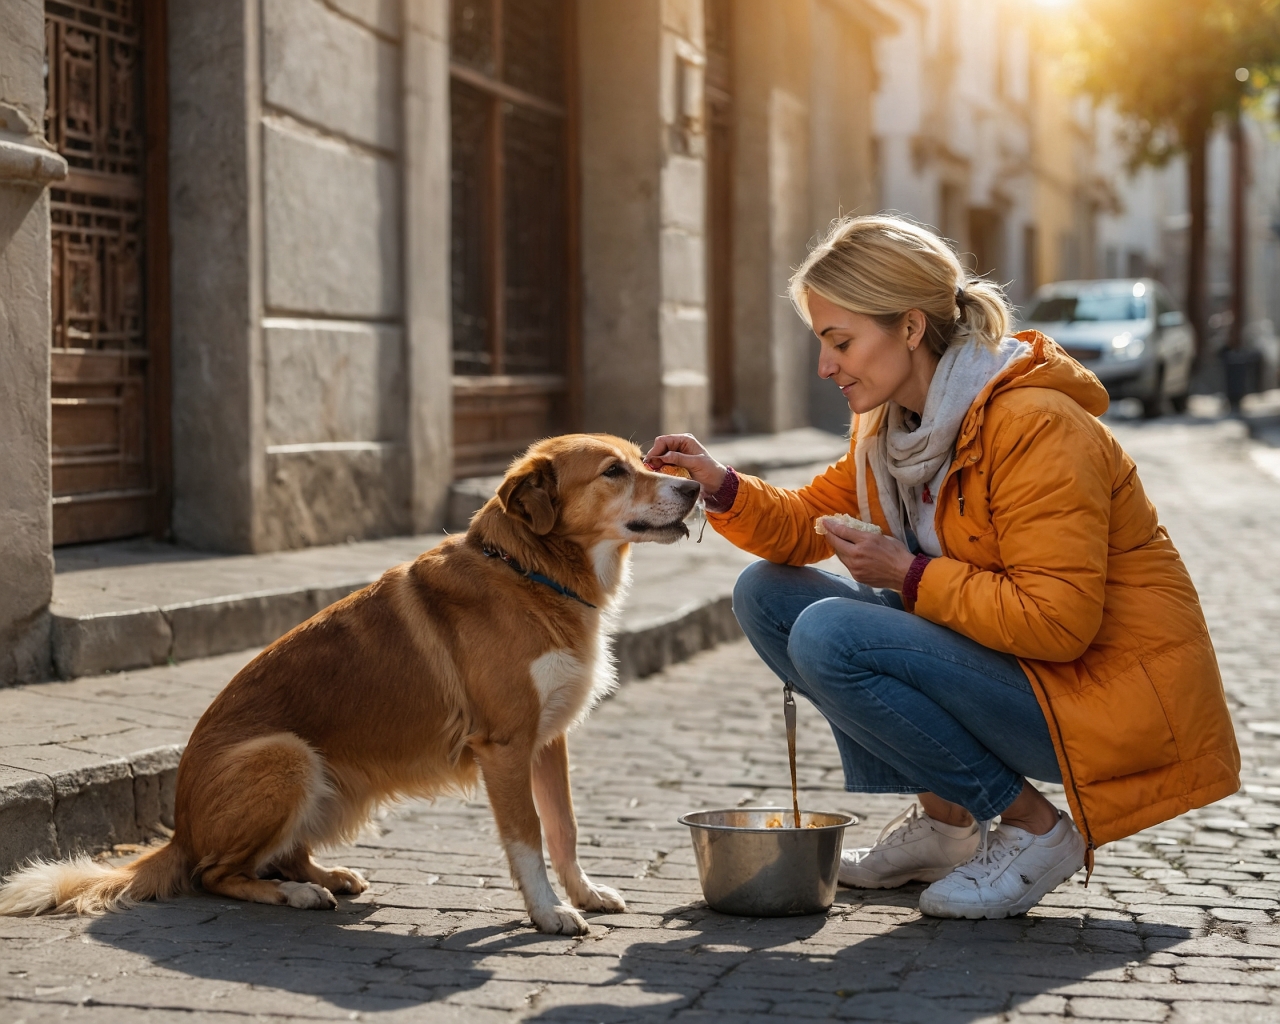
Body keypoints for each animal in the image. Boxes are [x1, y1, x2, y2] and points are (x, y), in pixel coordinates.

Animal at [0, 432, 701, 936]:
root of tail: (180, 831)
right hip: (285, 755)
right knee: (212, 874)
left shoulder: (549, 741)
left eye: (647, 460)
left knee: (277, 852)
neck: (531, 572)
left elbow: (565, 828)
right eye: (613, 472)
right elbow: (527, 836)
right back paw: (296, 892)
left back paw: (326, 875)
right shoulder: (506, 747)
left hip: (337, 784)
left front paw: (583, 892)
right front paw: (549, 912)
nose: (695, 486)